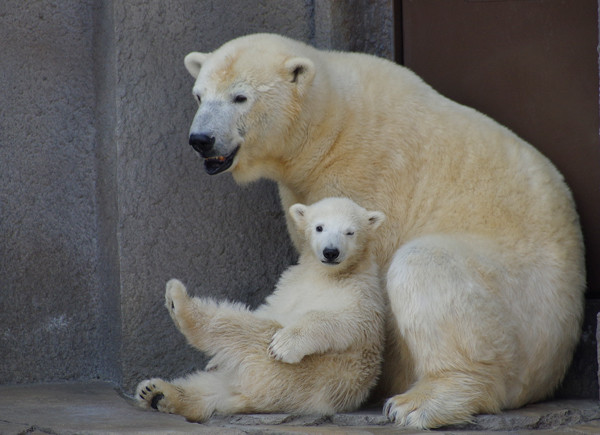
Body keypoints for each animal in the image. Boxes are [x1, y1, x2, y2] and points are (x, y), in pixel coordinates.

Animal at [184, 34, 584, 430]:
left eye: (240, 97)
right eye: (199, 95)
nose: (201, 139)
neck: (330, 123)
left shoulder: (367, 176)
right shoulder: (303, 188)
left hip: (522, 299)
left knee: (427, 267)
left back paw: (419, 402)